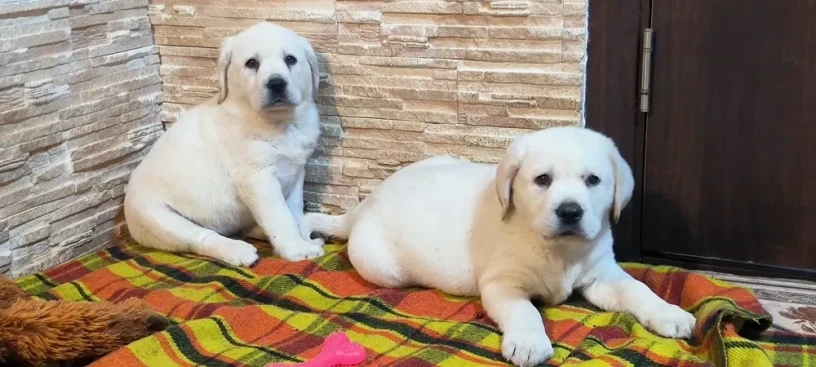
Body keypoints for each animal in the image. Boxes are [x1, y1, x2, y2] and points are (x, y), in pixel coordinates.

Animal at [124, 22, 322, 268]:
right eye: (251, 63)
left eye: (290, 59)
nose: (276, 84)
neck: (279, 123)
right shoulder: (258, 179)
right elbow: (281, 218)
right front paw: (296, 248)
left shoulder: (297, 172)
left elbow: (293, 210)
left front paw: (303, 237)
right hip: (159, 219)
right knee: (202, 238)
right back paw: (238, 251)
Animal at [302, 127, 700, 367]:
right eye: (543, 179)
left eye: (593, 180)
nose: (570, 211)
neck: (558, 251)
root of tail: (362, 205)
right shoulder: (502, 284)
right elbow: (526, 311)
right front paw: (528, 342)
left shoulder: (602, 276)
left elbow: (638, 289)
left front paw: (669, 313)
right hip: (384, 269)